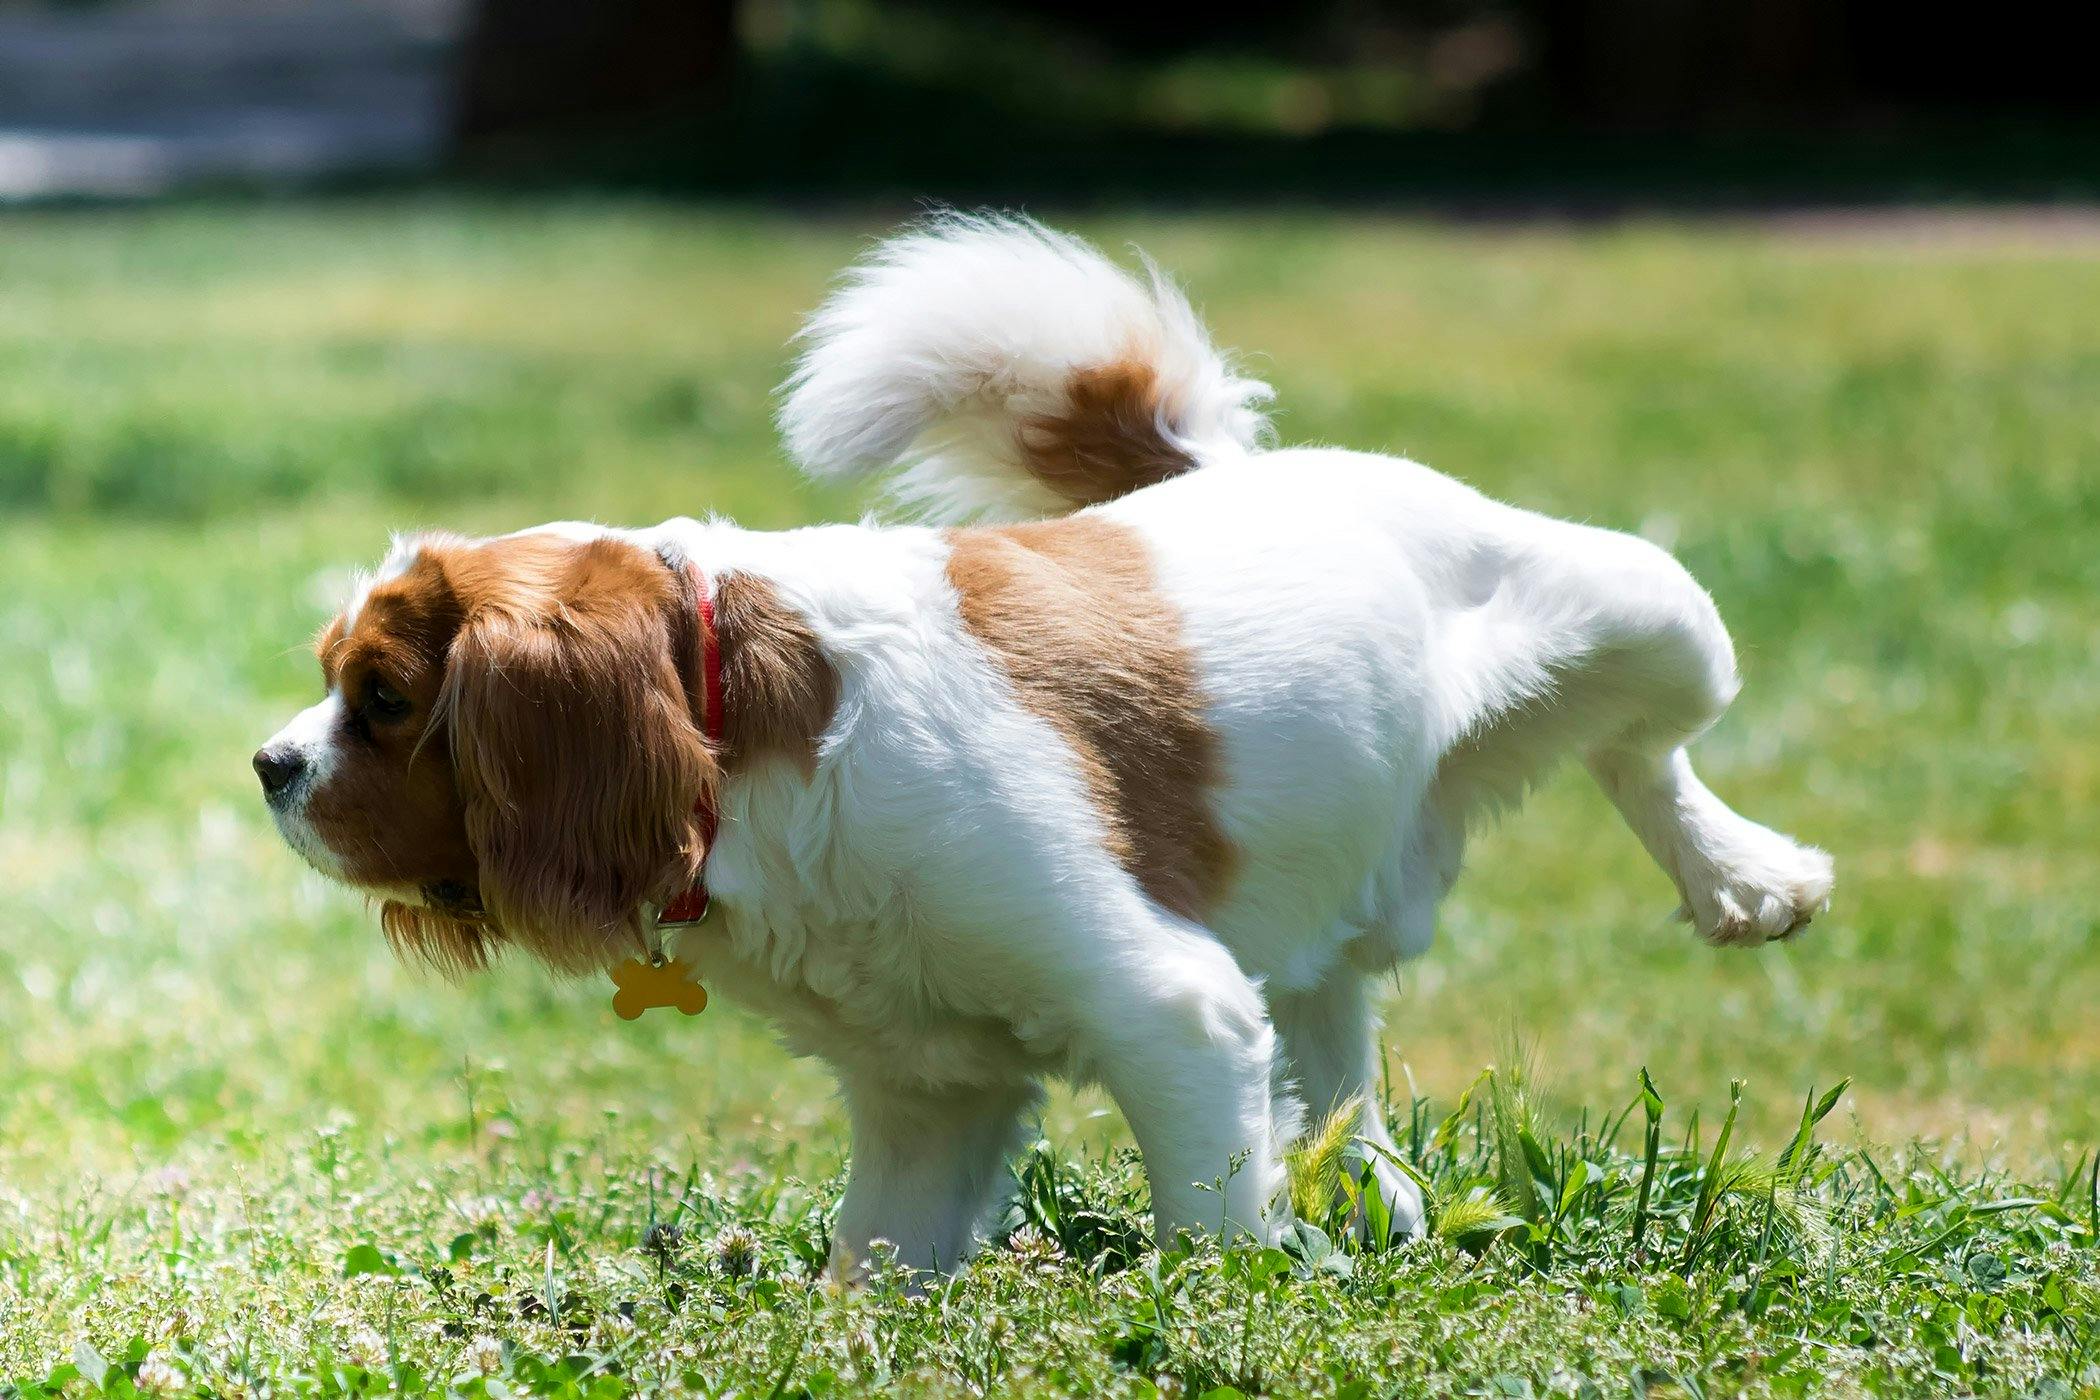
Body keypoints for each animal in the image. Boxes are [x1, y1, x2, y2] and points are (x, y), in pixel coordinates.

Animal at [254, 216, 1831, 1267]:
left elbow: (1211, 1237)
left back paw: (1746, 878)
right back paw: (1366, 1189)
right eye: (333, 681)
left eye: (382, 697)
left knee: (1650, 744)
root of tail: (1235, 471)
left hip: (1650, 607)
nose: (269, 766)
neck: (742, 740)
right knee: (1337, 1038)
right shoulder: (926, 1102)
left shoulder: (1172, 1013)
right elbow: (874, 1265)